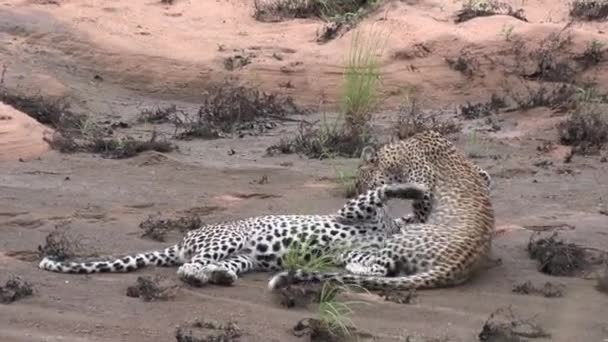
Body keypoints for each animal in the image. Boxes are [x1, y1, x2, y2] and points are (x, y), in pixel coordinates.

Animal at [38, 182, 428, 286]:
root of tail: (181, 242)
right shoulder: (352, 211)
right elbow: (381, 190)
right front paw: (415, 189)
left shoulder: (358, 250)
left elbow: (369, 263)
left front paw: (366, 269)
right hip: (229, 239)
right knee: (187, 268)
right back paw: (203, 276)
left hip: (244, 257)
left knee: (206, 267)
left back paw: (219, 276)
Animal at [268, 130, 496, 292]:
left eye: (361, 184)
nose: (360, 195)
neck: (402, 150)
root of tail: (458, 265)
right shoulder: (481, 173)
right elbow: (486, 178)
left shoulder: (424, 191)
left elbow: (418, 213)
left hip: (399, 243)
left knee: (381, 269)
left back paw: (351, 264)